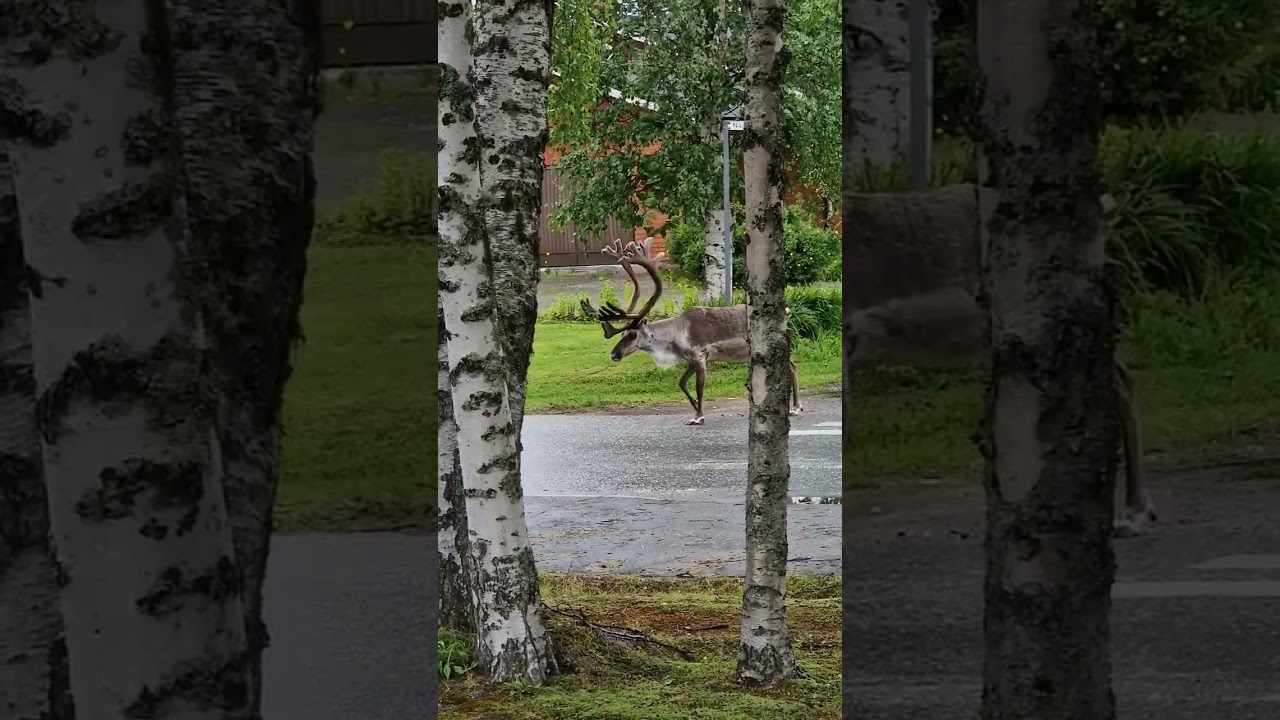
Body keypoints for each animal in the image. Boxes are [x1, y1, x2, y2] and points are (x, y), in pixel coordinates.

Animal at [580, 239, 803, 426]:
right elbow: (681, 383)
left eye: (632, 334)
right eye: (621, 334)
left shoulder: (700, 356)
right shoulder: (689, 359)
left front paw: (699, 416)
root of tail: (787, 311)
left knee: (792, 367)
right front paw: (695, 410)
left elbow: (699, 387)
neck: (674, 338)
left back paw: (796, 407)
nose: (613, 354)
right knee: (791, 366)